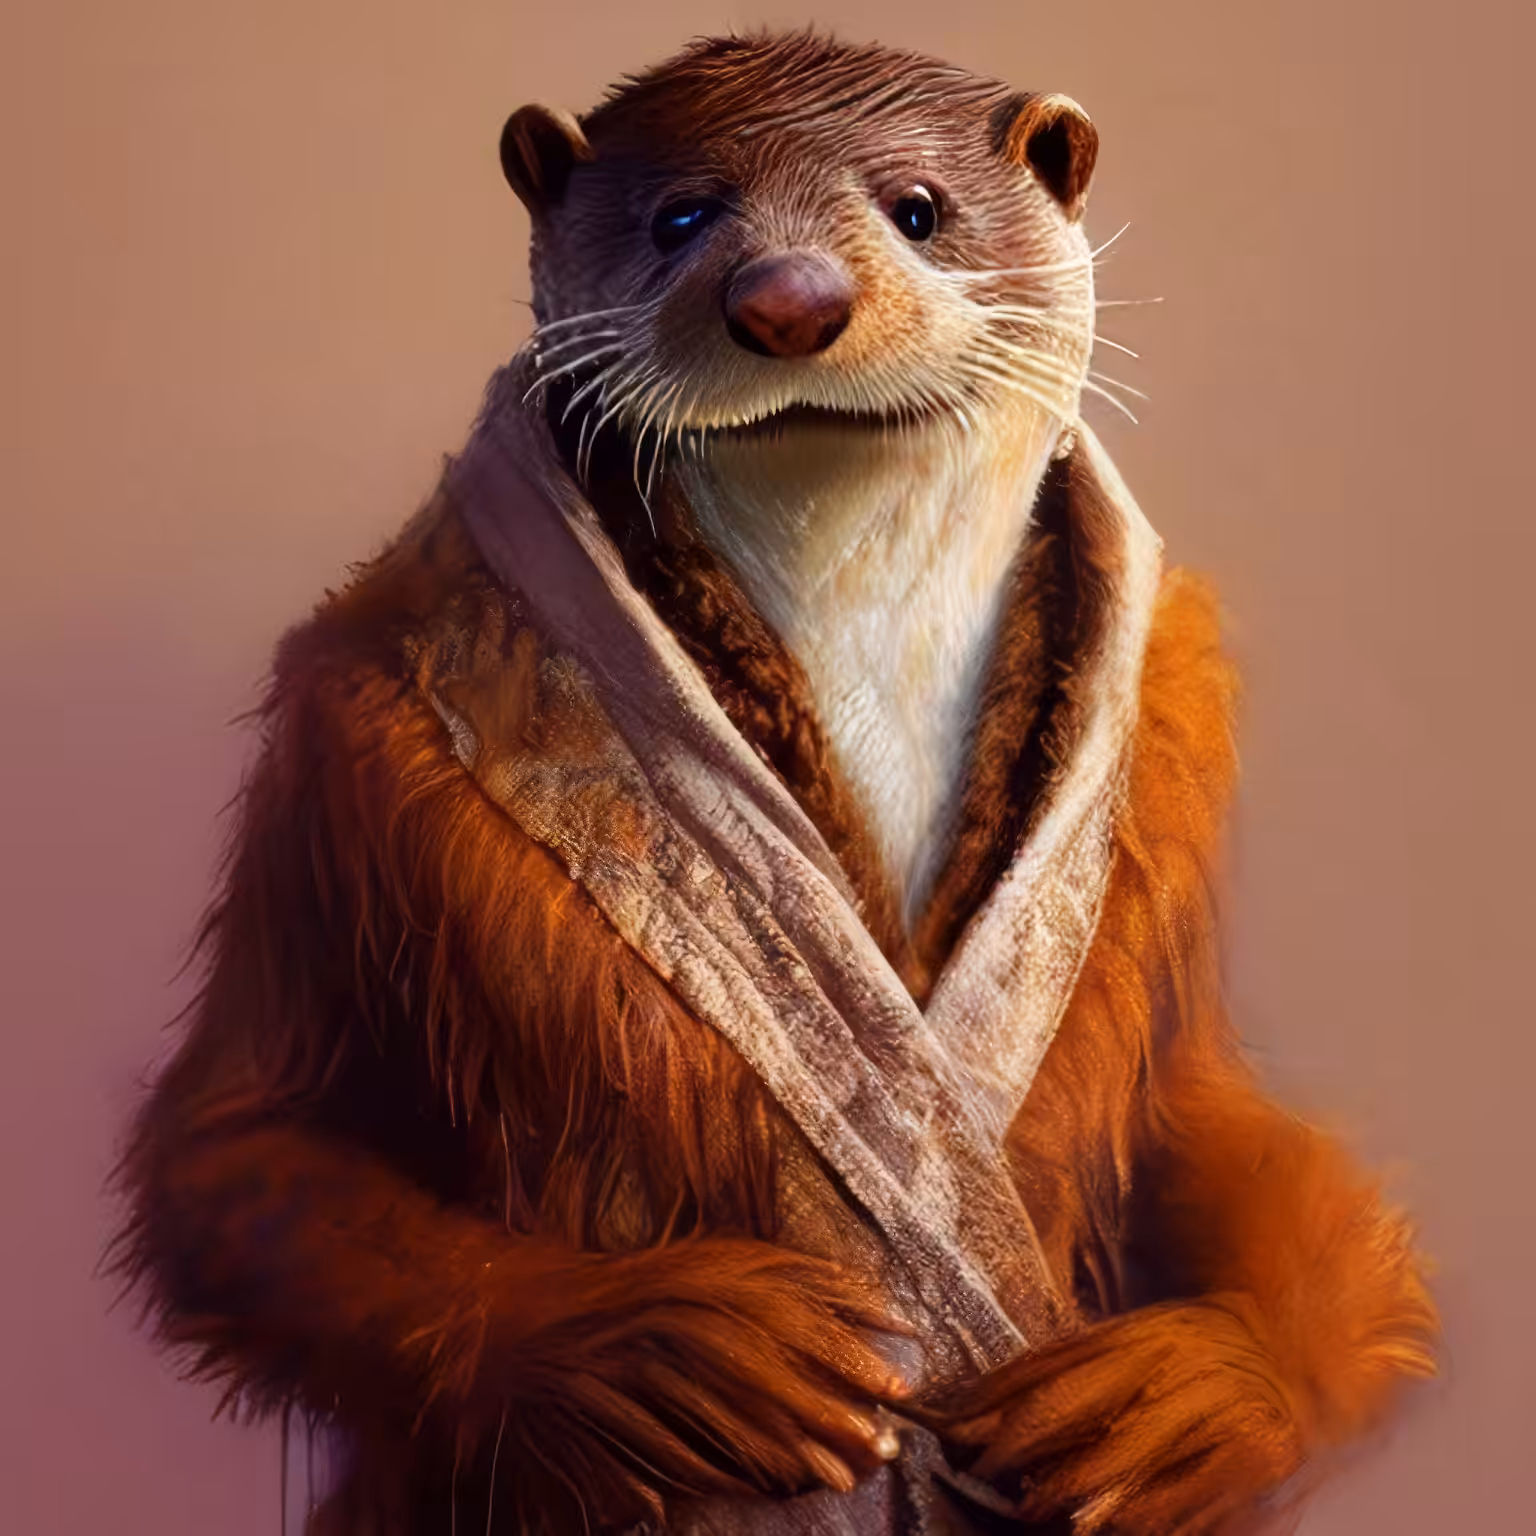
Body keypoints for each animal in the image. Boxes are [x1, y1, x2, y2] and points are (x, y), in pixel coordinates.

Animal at [111, 29, 1438, 1536]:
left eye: (917, 208)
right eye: (682, 216)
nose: (789, 294)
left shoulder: (1174, 777)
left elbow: (1207, 1117)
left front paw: (1190, 1395)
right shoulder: (335, 742)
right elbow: (235, 1145)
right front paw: (651, 1354)